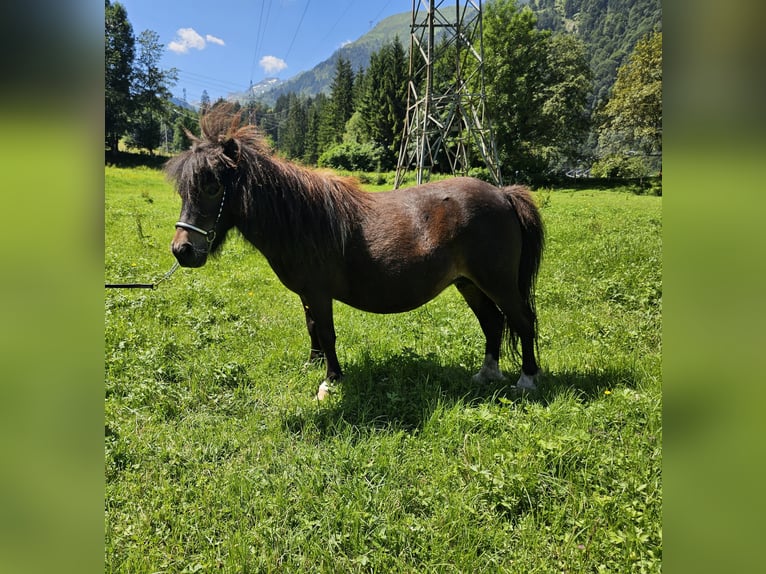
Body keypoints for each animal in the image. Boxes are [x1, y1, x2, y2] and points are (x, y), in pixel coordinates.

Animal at [168, 104, 544, 400]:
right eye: (184, 190)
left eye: (212, 187)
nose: (182, 250)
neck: (302, 219)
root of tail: (503, 194)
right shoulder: (306, 294)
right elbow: (312, 328)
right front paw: (313, 364)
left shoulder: (319, 293)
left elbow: (327, 333)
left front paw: (330, 381)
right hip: (469, 284)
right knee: (493, 323)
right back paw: (486, 374)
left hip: (498, 283)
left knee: (522, 321)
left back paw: (527, 379)